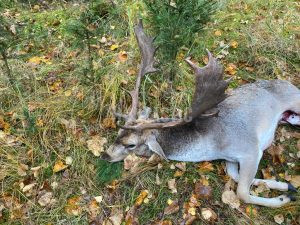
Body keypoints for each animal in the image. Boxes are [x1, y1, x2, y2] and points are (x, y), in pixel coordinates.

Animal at [102, 20, 298, 208]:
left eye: (131, 145)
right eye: (118, 133)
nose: (105, 155)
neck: (213, 146)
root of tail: (290, 84)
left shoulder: (251, 149)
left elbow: (242, 193)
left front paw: (284, 197)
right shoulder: (232, 159)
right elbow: (235, 176)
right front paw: (286, 186)